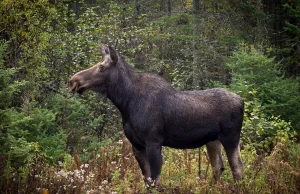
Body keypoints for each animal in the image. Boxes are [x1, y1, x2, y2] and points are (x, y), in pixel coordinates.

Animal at [69, 42, 244, 188]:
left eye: (101, 68)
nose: (73, 80)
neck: (125, 102)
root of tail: (242, 101)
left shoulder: (153, 142)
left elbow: (155, 181)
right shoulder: (137, 145)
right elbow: (147, 181)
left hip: (230, 137)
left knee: (237, 168)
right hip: (213, 140)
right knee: (218, 167)